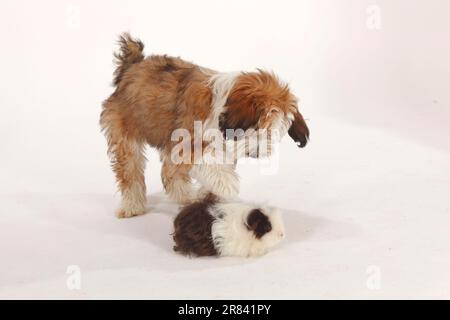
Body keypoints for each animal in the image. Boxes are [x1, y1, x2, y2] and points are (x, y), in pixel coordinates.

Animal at [99, 33, 310, 218]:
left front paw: (211, 193)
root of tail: (131, 67)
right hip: (126, 133)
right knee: (131, 170)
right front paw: (228, 186)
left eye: (273, 134)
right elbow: (210, 165)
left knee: (170, 171)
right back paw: (132, 206)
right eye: (259, 128)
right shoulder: (187, 142)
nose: (257, 153)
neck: (221, 107)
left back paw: (186, 197)